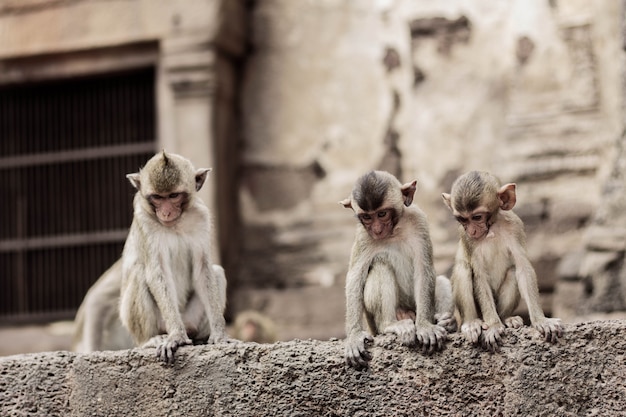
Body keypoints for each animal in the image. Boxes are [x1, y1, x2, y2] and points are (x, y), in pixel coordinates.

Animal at [118, 151, 228, 362]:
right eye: (157, 197)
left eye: (173, 196)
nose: (166, 212)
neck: (176, 223)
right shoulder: (144, 219)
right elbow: (157, 273)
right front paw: (176, 336)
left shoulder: (201, 216)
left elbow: (203, 270)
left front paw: (219, 333)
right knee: (139, 274)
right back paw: (150, 339)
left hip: (190, 318)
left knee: (217, 272)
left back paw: (200, 337)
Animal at [342, 171, 454, 368]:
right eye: (367, 217)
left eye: (382, 214)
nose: (377, 230)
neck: (395, 230)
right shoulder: (364, 235)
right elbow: (355, 276)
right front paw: (354, 336)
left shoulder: (418, 220)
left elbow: (424, 269)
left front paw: (425, 325)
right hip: (376, 324)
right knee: (381, 266)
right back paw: (391, 324)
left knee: (440, 281)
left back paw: (444, 321)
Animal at [438, 171, 560, 350]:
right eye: (462, 220)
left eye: (477, 217)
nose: (472, 231)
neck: (492, 229)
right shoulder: (466, 238)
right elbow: (479, 275)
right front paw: (494, 326)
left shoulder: (515, 226)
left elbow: (522, 268)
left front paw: (540, 320)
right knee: (463, 269)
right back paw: (472, 323)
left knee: (513, 271)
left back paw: (506, 318)